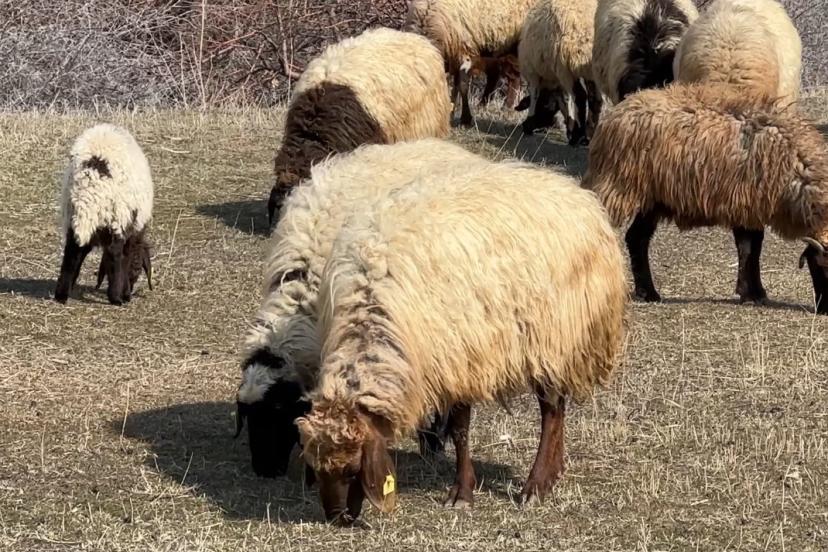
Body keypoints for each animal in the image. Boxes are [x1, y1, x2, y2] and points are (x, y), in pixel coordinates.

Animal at [55, 123, 153, 306]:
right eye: (138, 269)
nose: (130, 292)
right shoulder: (130, 233)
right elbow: (124, 259)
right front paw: (124, 293)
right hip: (117, 218)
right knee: (115, 253)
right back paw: (116, 298)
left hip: (74, 218)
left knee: (71, 253)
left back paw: (62, 295)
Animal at [295, 157, 628, 524]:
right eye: (316, 469)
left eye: (353, 469)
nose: (336, 518)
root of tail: (580, 197)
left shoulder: (459, 358)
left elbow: (460, 429)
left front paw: (462, 493)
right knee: (558, 408)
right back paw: (553, 474)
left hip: (551, 336)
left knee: (551, 411)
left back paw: (536, 485)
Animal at [405, 0, 535, 127]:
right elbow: (455, 87)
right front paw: (452, 113)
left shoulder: (463, 53)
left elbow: (462, 86)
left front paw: (465, 119)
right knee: (502, 76)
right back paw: (487, 106)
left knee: (512, 77)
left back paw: (506, 108)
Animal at [518, 0, 602, 145]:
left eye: (544, 108)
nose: (546, 126)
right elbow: (564, 100)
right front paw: (570, 127)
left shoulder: (533, 71)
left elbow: (535, 94)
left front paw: (529, 123)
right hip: (590, 70)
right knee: (595, 100)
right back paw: (589, 135)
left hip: (564, 67)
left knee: (580, 97)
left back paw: (578, 137)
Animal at [583, 82, 828, 311]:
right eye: (820, 266)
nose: (823, 310)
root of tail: (617, 111)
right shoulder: (743, 204)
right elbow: (748, 248)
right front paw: (749, 293)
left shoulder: (752, 207)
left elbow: (754, 248)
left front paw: (756, 292)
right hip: (618, 187)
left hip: (652, 199)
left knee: (637, 238)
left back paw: (648, 293)